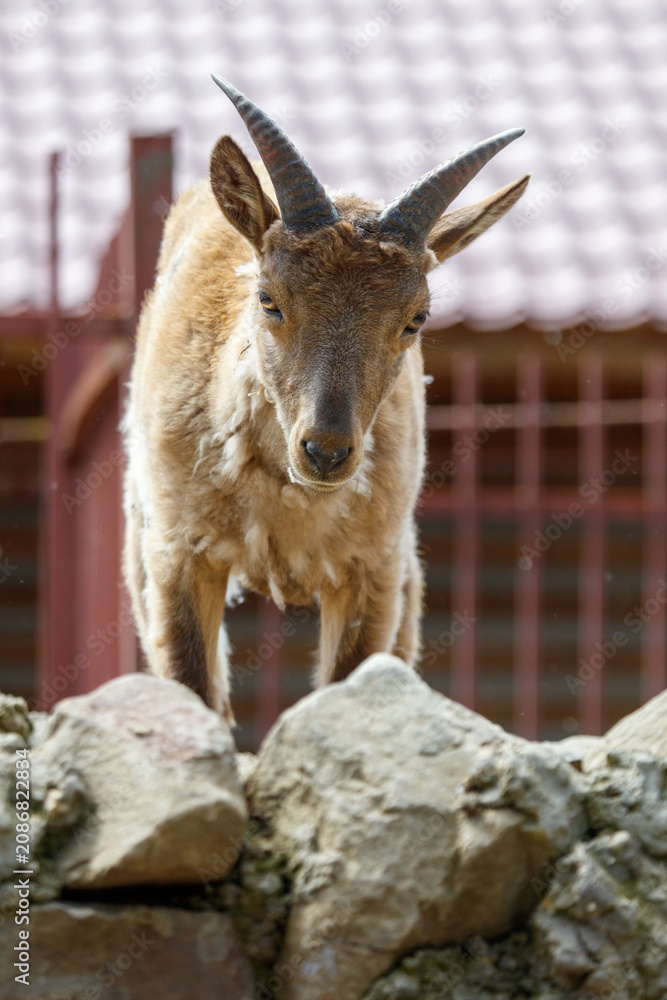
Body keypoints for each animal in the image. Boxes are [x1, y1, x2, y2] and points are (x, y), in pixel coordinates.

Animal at [122, 75, 529, 721]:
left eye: (417, 318)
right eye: (268, 298)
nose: (328, 451)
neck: (285, 500)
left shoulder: (372, 568)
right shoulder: (178, 552)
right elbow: (194, 689)